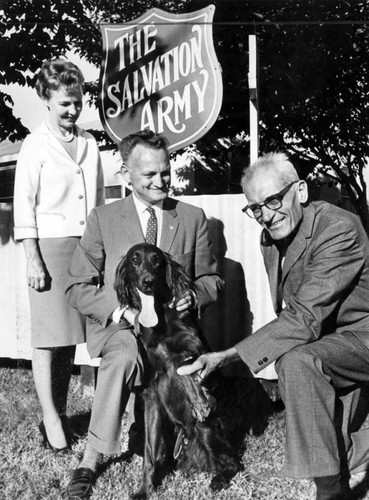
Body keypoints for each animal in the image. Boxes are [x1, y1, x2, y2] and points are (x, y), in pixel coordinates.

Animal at [113, 241, 270, 496]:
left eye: (157, 261)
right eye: (134, 261)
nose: (147, 282)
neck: (158, 319)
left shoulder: (193, 348)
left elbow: (182, 365)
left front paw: (200, 401)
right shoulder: (151, 395)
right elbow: (148, 455)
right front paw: (144, 490)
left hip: (206, 430)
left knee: (233, 463)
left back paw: (218, 479)